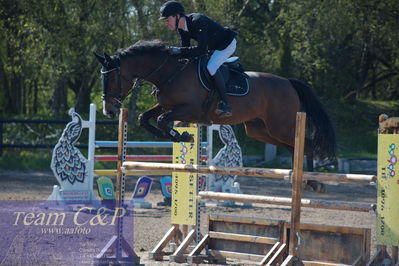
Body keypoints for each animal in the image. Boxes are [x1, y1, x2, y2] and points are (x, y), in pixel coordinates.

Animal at [95, 39, 336, 192]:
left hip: (281, 125)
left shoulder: (191, 109)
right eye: (102, 78)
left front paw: (183, 136)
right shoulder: (165, 105)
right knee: (294, 147)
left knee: (307, 145)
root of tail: (289, 83)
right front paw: (181, 136)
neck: (170, 72)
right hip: (261, 130)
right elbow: (144, 119)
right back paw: (300, 179)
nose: (109, 110)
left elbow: (163, 121)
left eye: (113, 78)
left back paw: (313, 182)